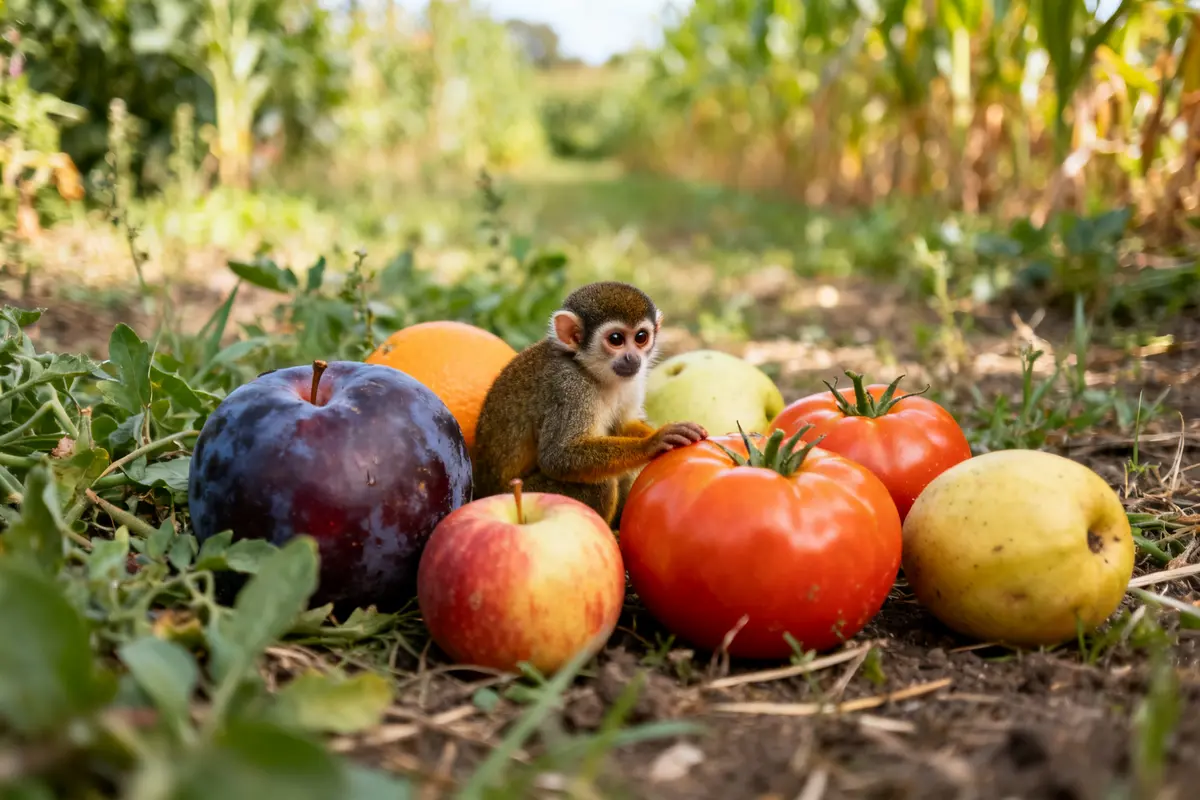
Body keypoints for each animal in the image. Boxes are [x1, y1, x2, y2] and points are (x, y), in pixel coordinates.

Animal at [471, 281, 708, 527]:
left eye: (641, 337)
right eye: (616, 339)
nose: (633, 358)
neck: (590, 371)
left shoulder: (633, 380)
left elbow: (623, 425)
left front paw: (664, 431)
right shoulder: (569, 387)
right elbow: (557, 457)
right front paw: (653, 442)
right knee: (601, 483)